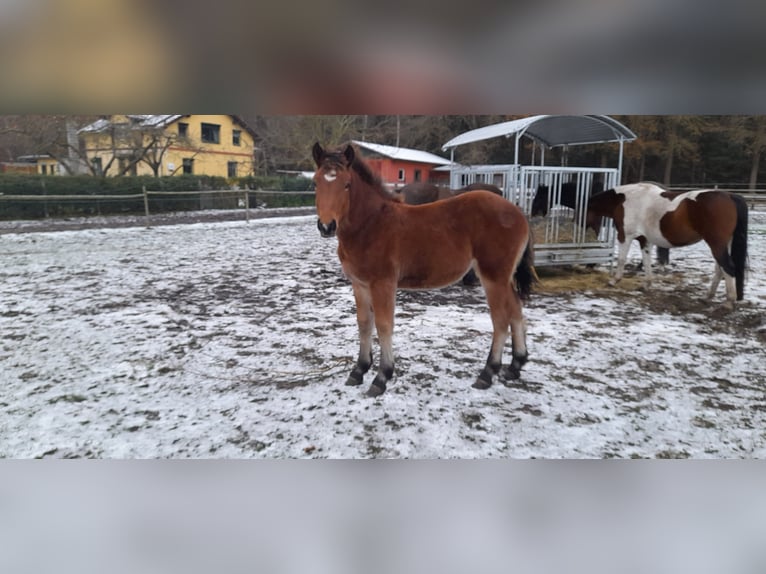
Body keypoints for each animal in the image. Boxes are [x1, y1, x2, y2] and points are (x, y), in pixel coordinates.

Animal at [588, 184, 752, 310]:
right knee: (720, 269)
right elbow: (646, 261)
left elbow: (622, 259)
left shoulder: (624, 236)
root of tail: (730, 196)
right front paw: (646, 285)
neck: (624, 199)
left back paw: (729, 302)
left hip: (716, 244)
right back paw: (708, 296)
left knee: (728, 268)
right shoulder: (644, 240)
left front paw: (614, 281)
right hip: (723, 244)